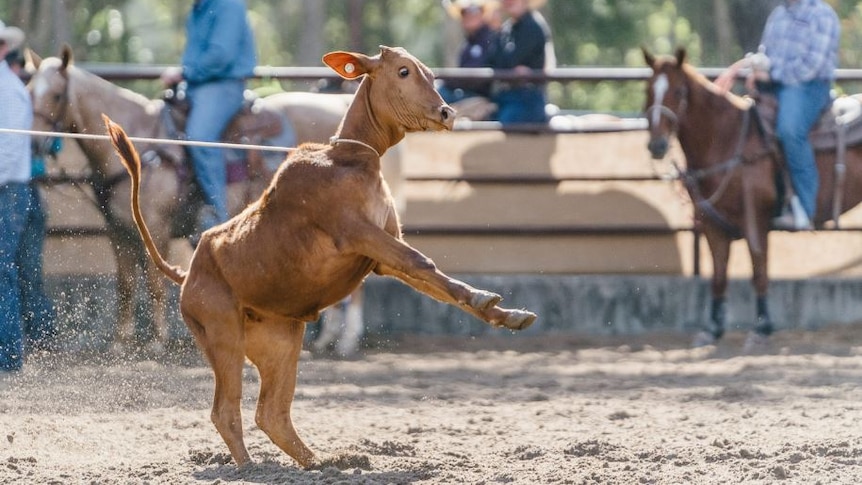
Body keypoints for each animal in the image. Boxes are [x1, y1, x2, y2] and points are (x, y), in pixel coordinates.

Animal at [26, 46, 398, 356]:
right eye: (30, 91)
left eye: (56, 94)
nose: (33, 146)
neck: (144, 145)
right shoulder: (118, 231)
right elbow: (126, 286)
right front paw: (121, 341)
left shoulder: (156, 227)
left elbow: (155, 285)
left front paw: (158, 341)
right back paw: (327, 338)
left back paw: (346, 340)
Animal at [104, 47, 536, 466]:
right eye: (403, 71)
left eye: (429, 73)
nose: (447, 112)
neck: (350, 159)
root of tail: (187, 273)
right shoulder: (360, 233)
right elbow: (422, 263)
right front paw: (486, 299)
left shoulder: (382, 253)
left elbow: (431, 279)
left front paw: (507, 314)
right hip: (222, 333)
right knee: (226, 410)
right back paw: (252, 466)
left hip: (280, 340)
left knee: (271, 413)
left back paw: (321, 461)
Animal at [644, 47, 862, 346]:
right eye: (648, 90)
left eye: (678, 91)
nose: (657, 145)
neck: (727, 140)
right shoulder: (712, 225)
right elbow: (719, 276)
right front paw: (712, 329)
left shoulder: (756, 221)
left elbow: (759, 271)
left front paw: (762, 328)